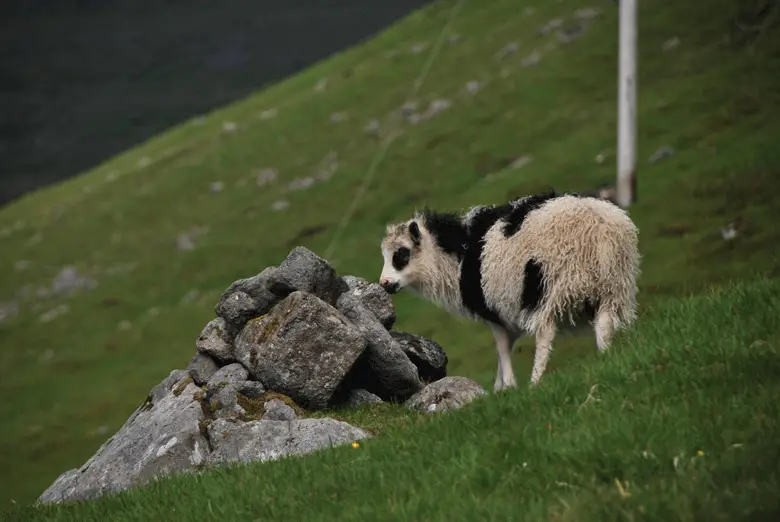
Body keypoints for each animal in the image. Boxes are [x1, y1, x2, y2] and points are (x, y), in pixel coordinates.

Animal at [378, 189, 640, 388]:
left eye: (401, 253)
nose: (385, 284)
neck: (456, 256)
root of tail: (597, 229)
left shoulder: (494, 313)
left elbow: (502, 349)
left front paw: (510, 387)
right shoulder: (507, 315)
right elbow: (502, 354)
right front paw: (499, 389)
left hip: (552, 287)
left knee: (545, 334)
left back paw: (535, 382)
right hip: (611, 287)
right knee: (604, 324)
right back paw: (605, 356)